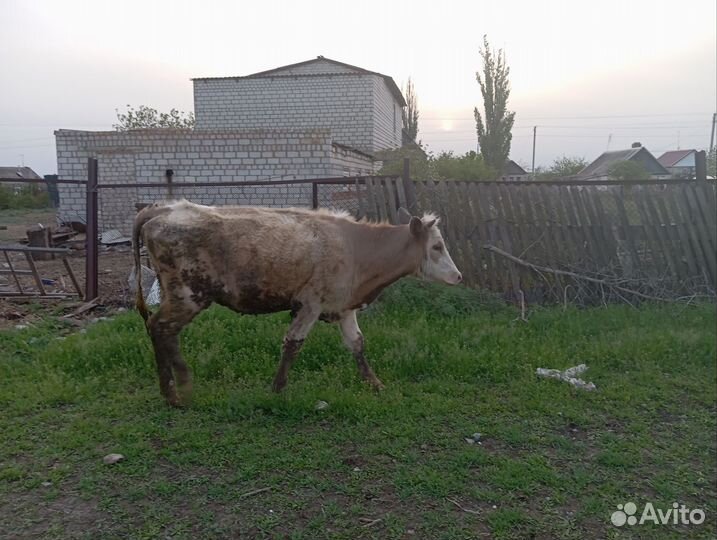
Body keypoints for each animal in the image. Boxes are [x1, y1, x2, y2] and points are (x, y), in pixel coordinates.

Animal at [132, 200, 461, 406]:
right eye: (437, 246)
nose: (458, 276)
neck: (355, 246)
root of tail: (166, 209)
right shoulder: (310, 303)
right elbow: (293, 344)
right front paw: (277, 389)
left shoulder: (343, 306)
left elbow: (357, 344)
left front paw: (375, 384)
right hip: (188, 295)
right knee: (160, 328)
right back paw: (177, 390)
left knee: (161, 330)